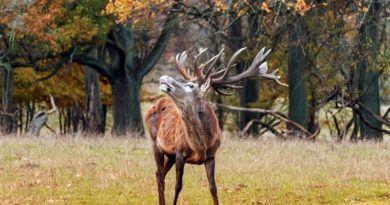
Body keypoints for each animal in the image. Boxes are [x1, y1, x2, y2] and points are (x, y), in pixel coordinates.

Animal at [145, 46, 284, 205]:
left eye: (190, 85)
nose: (164, 78)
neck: (201, 145)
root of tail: (153, 106)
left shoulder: (211, 155)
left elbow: (213, 187)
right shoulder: (180, 152)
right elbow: (178, 186)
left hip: (169, 155)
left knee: (158, 174)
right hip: (155, 142)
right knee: (160, 175)